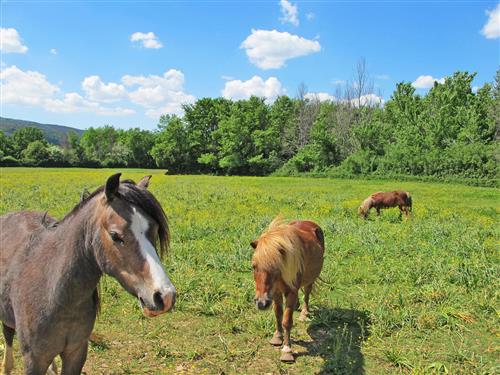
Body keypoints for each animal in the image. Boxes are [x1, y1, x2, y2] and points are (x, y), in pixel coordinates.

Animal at [0, 175, 176, 374]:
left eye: (154, 230)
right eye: (115, 235)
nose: (165, 296)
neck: (53, 290)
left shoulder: (76, 352)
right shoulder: (34, 360)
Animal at [250, 217, 324, 364]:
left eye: (276, 266)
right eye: (254, 266)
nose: (261, 303)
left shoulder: (290, 292)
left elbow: (287, 321)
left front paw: (287, 350)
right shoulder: (276, 293)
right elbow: (278, 314)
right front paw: (277, 337)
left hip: (310, 279)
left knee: (307, 294)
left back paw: (304, 314)